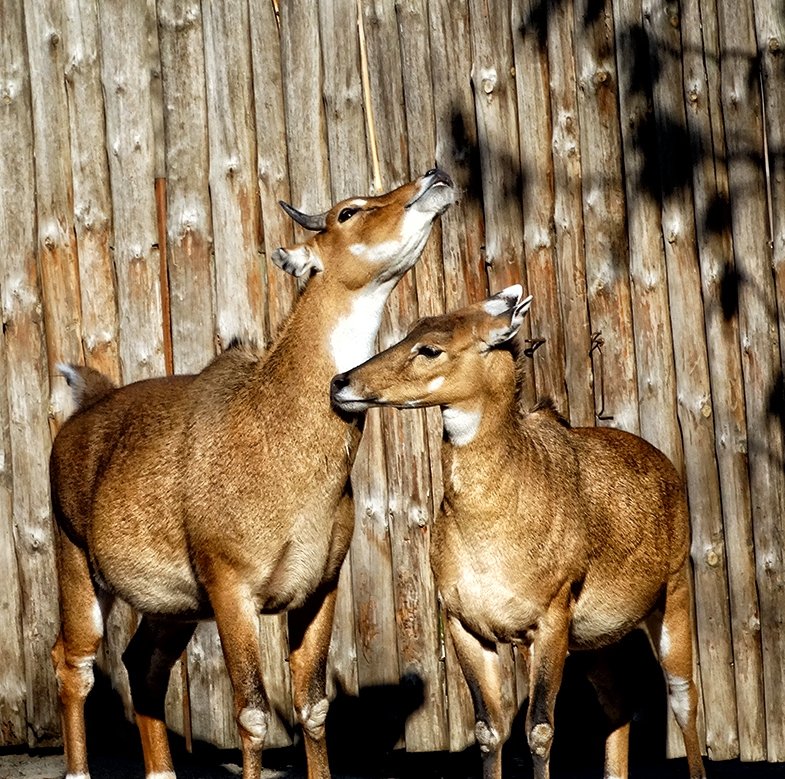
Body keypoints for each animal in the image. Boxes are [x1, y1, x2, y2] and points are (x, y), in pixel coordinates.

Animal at [49, 169, 454, 779]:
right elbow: (254, 713)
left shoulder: (320, 587)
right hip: (78, 564)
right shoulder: (233, 588)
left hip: (175, 608)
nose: (435, 177)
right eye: (347, 211)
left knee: (142, 664)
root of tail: (83, 411)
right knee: (72, 664)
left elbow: (313, 706)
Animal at [330, 286, 704, 779]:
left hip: (673, 596)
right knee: (618, 703)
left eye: (429, 348)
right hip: (594, 641)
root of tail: (666, 466)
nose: (341, 383)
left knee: (684, 698)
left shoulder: (549, 620)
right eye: (413, 329)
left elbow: (539, 729)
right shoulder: (466, 624)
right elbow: (489, 729)